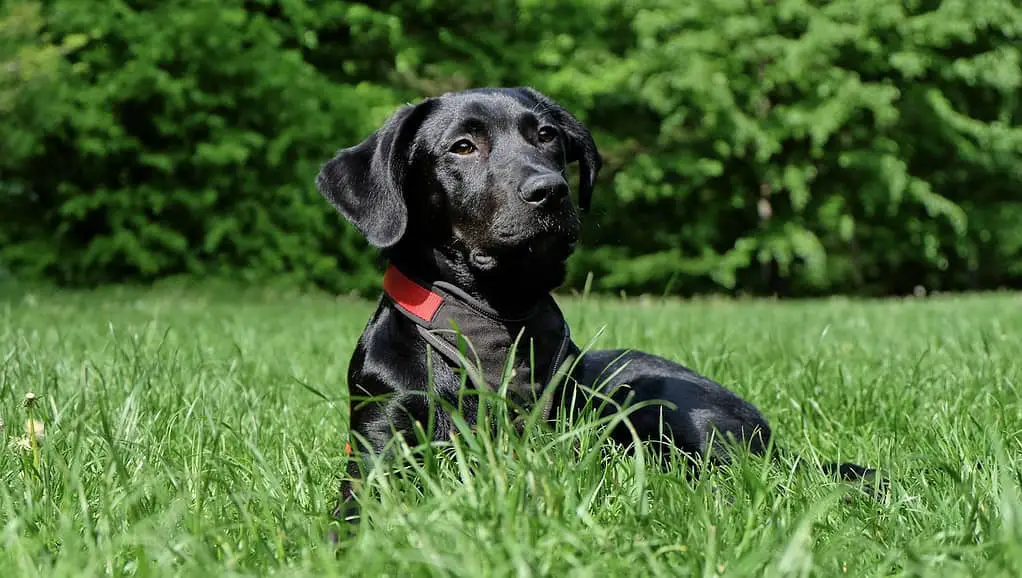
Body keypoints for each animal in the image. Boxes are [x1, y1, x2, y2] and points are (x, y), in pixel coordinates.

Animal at [312, 87, 878, 531]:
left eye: (546, 136)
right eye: (463, 146)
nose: (550, 190)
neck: (492, 321)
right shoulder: (380, 439)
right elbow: (359, 507)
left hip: (657, 402)